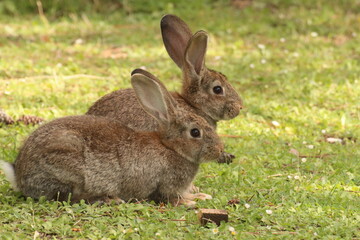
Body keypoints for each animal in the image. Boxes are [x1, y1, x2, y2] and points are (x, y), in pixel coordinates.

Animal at [0, 71, 224, 206]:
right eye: (195, 132)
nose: (220, 150)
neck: (171, 148)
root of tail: (19, 174)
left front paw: (201, 196)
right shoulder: (164, 185)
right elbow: (168, 198)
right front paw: (192, 202)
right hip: (67, 165)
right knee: (69, 196)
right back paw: (110, 200)